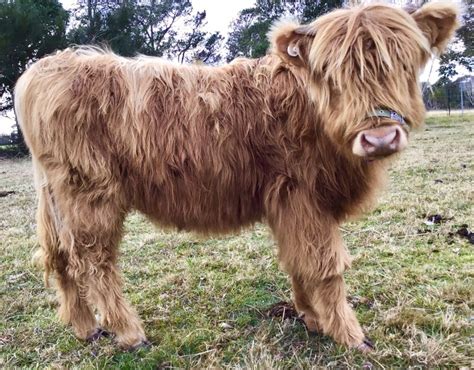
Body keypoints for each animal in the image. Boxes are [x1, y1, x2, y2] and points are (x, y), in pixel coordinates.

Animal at [15, 1, 460, 352]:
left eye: (403, 62)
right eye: (331, 74)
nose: (379, 137)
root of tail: (46, 66)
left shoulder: (289, 204)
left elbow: (298, 260)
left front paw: (310, 316)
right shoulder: (303, 196)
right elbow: (325, 266)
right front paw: (351, 336)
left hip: (53, 195)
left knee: (57, 255)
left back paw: (85, 328)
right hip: (89, 193)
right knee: (92, 260)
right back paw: (129, 333)